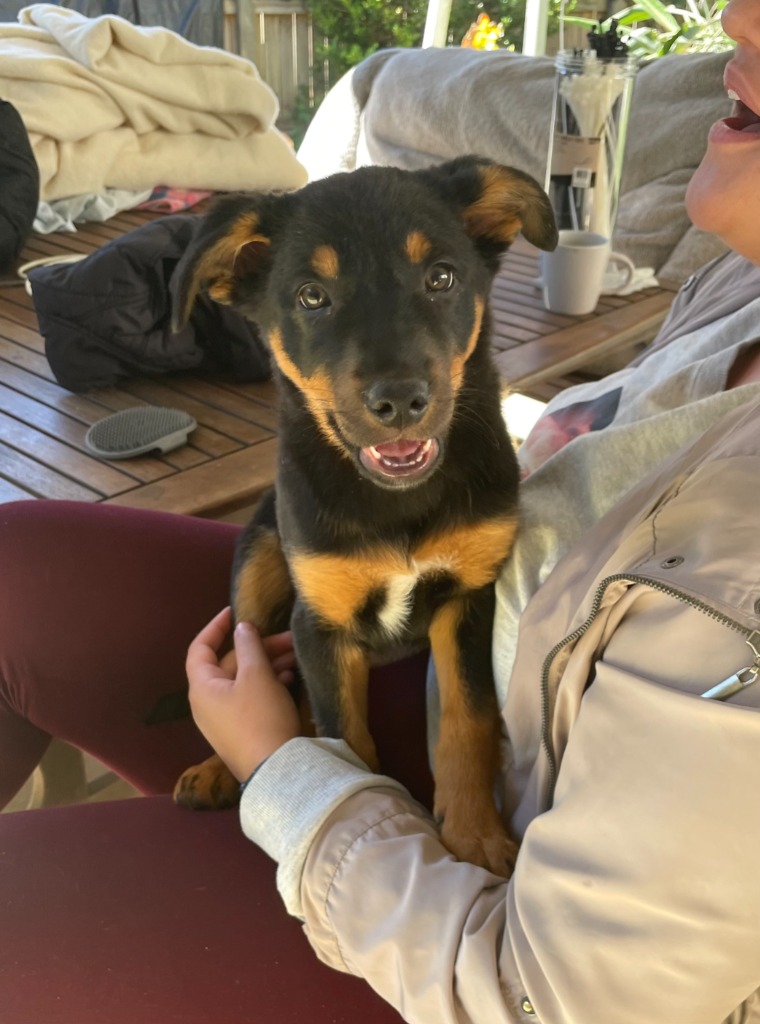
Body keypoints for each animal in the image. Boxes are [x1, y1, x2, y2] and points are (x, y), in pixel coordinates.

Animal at [171, 156, 557, 876]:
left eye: (441, 277)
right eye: (310, 297)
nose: (400, 401)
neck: (394, 498)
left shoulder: (468, 598)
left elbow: (468, 719)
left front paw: (476, 836)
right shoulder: (320, 622)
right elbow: (344, 741)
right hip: (259, 561)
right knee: (240, 648)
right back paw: (214, 768)